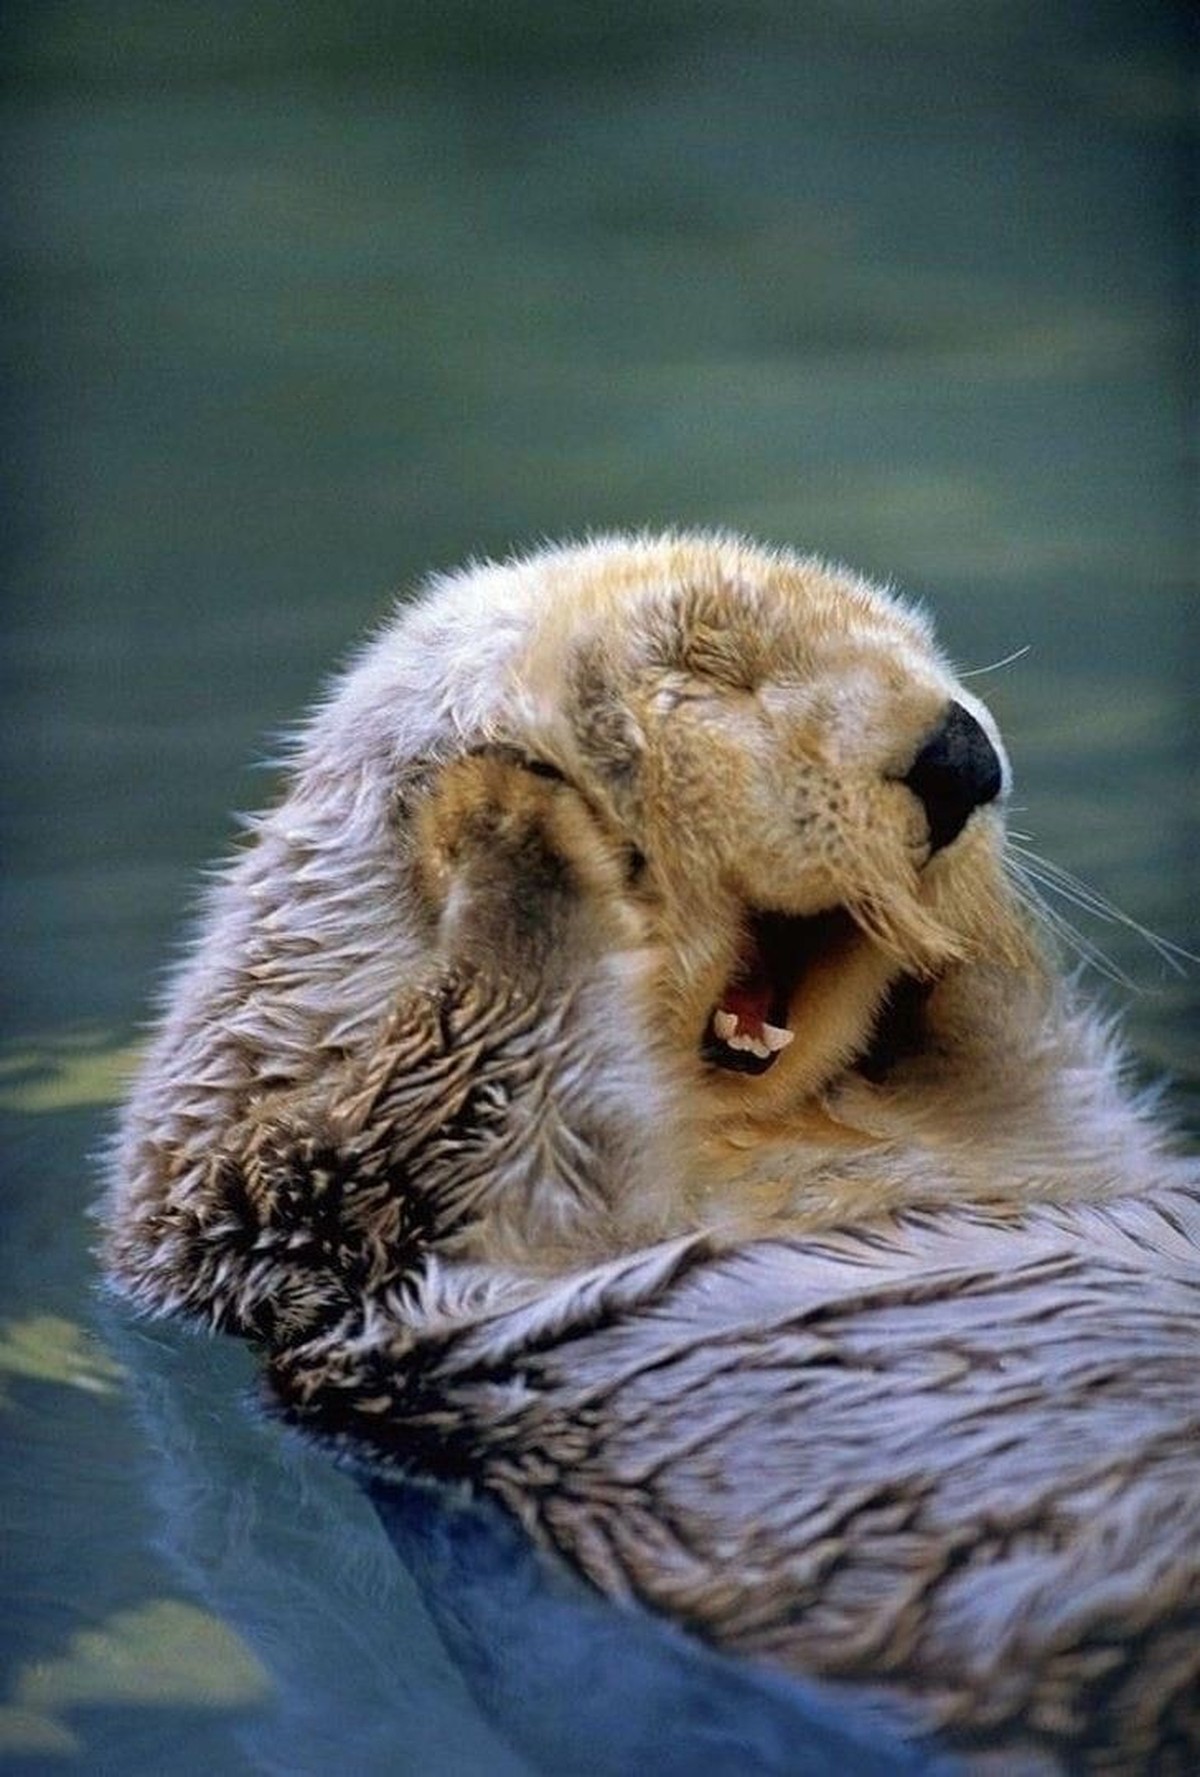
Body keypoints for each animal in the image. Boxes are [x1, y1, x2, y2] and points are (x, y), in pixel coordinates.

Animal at [101, 534, 1200, 1773]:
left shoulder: (1048, 1136)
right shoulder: (317, 1201)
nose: (962, 751)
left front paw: (975, 931)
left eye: (926, 655)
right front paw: (506, 815)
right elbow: (464, 1098)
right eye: (713, 675)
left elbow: (1037, 1074)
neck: (760, 1132)